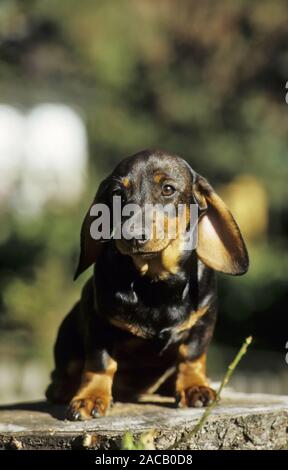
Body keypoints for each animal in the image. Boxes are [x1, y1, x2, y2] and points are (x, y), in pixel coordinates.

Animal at [46, 149, 249, 420]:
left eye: (168, 189)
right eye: (117, 193)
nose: (132, 236)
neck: (157, 283)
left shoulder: (204, 318)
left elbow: (191, 355)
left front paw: (194, 387)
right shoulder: (99, 319)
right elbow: (100, 363)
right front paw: (91, 397)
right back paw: (62, 389)